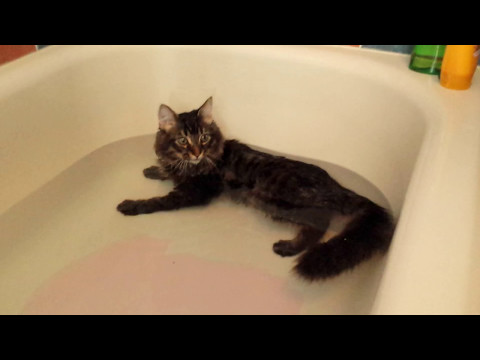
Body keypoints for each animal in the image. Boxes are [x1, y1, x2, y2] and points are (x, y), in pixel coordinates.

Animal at [117, 98, 394, 282]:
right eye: (183, 140)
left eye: (204, 137)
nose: (197, 153)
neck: (189, 164)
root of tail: (335, 185)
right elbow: (166, 171)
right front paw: (154, 170)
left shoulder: (195, 192)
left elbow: (157, 201)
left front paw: (131, 205)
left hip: (272, 198)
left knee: (319, 223)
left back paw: (289, 247)